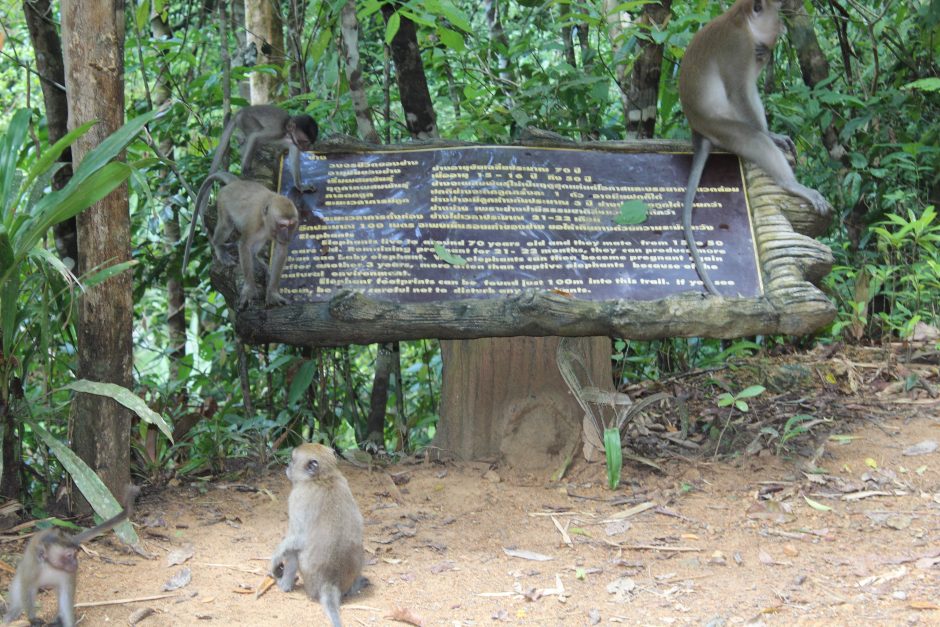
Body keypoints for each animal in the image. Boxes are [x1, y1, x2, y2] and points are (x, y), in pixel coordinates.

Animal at [2, 486, 140, 627]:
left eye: (75, 553)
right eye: (69, 555)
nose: (75, 563)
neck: (50, 565)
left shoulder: (68, 574)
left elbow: (65, 597)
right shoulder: (32, 568)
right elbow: (26, 589)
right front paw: (32, 619)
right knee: (18, 589)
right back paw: (12, 615)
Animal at [182, 172, 300, 310]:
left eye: (291, 225)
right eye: (282, 225)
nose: (287, 236)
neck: (266, 220)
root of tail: (236, 182)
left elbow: (281, 250)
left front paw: (272, 294)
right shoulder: (254, 222)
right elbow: (244, 244)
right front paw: (249, 290)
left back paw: (256, 259)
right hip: (222, 200)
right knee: (226, 226)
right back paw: (219, 247)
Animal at [270, 444, 370, 627]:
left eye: (292, 459)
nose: (287, 467)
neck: (323, 477)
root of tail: (331, 582)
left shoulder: (297, 498)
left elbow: (298, 538)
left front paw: (275, 561)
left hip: (310, 581)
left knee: (294, 552)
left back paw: (284, 586)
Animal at [676, 0, 828, 296]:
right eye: (775, 14)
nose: (782, 25)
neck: (741, 20)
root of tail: (698, 131)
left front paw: (765, 54)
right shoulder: (738, 47)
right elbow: (740, 92)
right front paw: (769, 133)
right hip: (724, 128)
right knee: (755, 139)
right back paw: (792, 184)